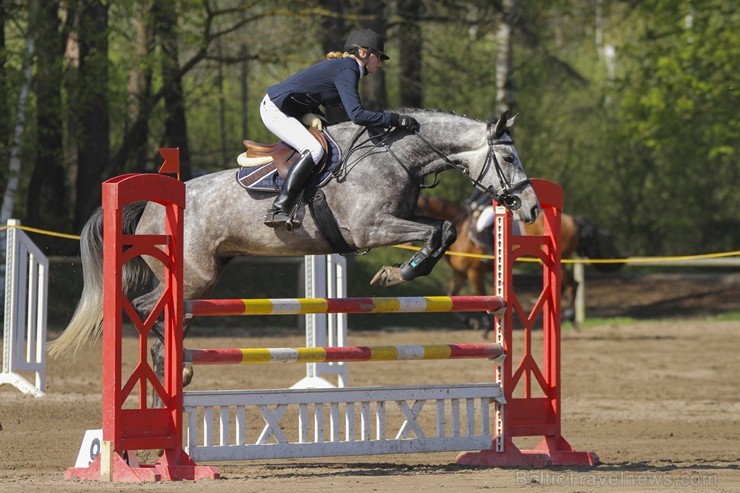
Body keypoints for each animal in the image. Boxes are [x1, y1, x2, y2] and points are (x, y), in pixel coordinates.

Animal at [50, 108, 536, 400]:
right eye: (510, 157)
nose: (530, 209)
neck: (397, 156)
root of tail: (151, 205)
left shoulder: (398, 217)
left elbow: (444, 230)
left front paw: (400, 270)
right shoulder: (371, 226)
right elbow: (438, 231)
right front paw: (395, 274)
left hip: (201, 278)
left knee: (168, 316)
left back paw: (174, 373)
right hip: (192, 275)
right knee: (146, 307)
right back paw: (169, 371)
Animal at [416, 196, 624, 330]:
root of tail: (573, 219)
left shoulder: (475, 272)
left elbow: (479, 294)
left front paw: (486, 327)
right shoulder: (460, 273)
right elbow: (452, 296)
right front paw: (472, 323)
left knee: (572, 284)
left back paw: (569, 316)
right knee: (568, 284)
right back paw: (566, 316)